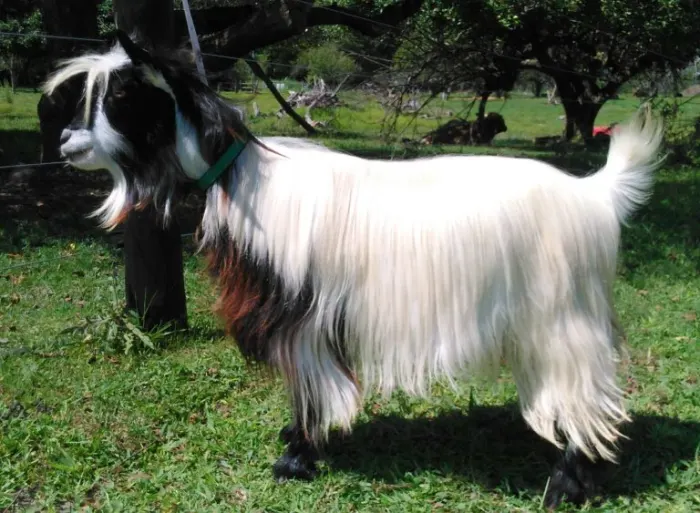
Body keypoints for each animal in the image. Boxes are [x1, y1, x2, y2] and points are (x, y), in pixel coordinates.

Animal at [44, 31, 664, 510]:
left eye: (125, 93)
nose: (67, 141)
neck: (244, 180)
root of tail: (594, 196)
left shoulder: (300, 315)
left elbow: (310, 386)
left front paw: (295, 458)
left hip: (562, 320)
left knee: (585, 397)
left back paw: (566, 488)